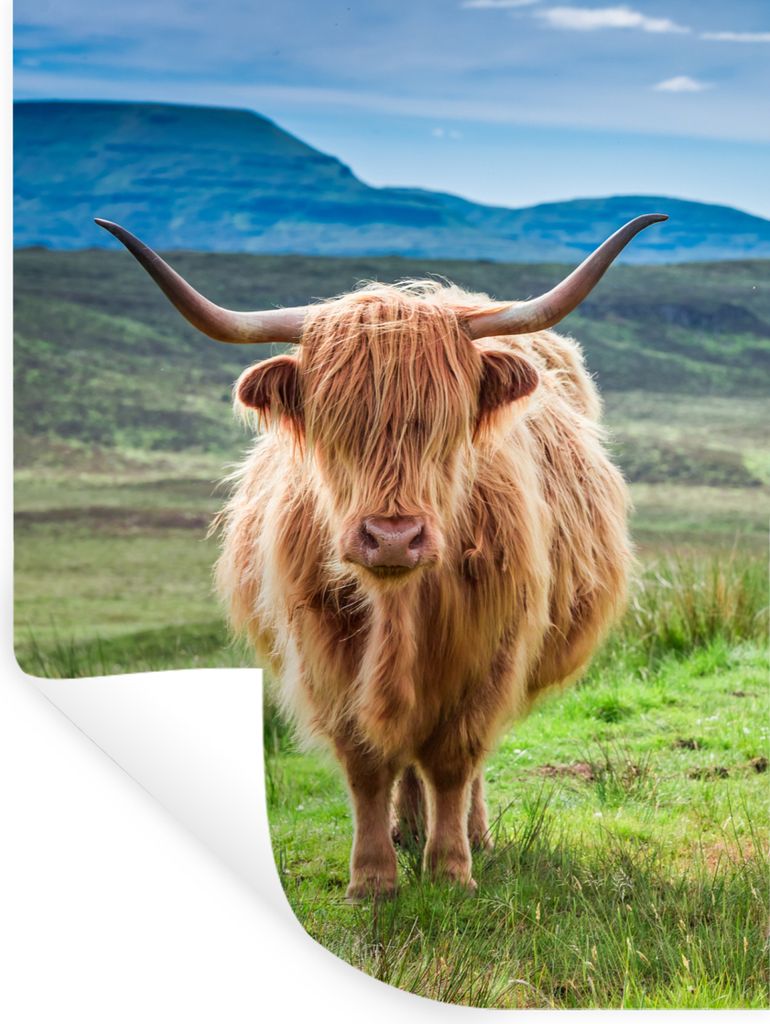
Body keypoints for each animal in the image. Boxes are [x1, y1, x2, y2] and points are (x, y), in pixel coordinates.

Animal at [96, 213, 664, 900]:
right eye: (334, 425)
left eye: (446, 424)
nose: (393, 537)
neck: (400, 605)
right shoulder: (325, 653)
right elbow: (367, 761)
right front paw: (372, 877)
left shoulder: (489, 650)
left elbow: (454, 757)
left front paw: (450, 870)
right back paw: (406, 829)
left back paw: (470, 835)